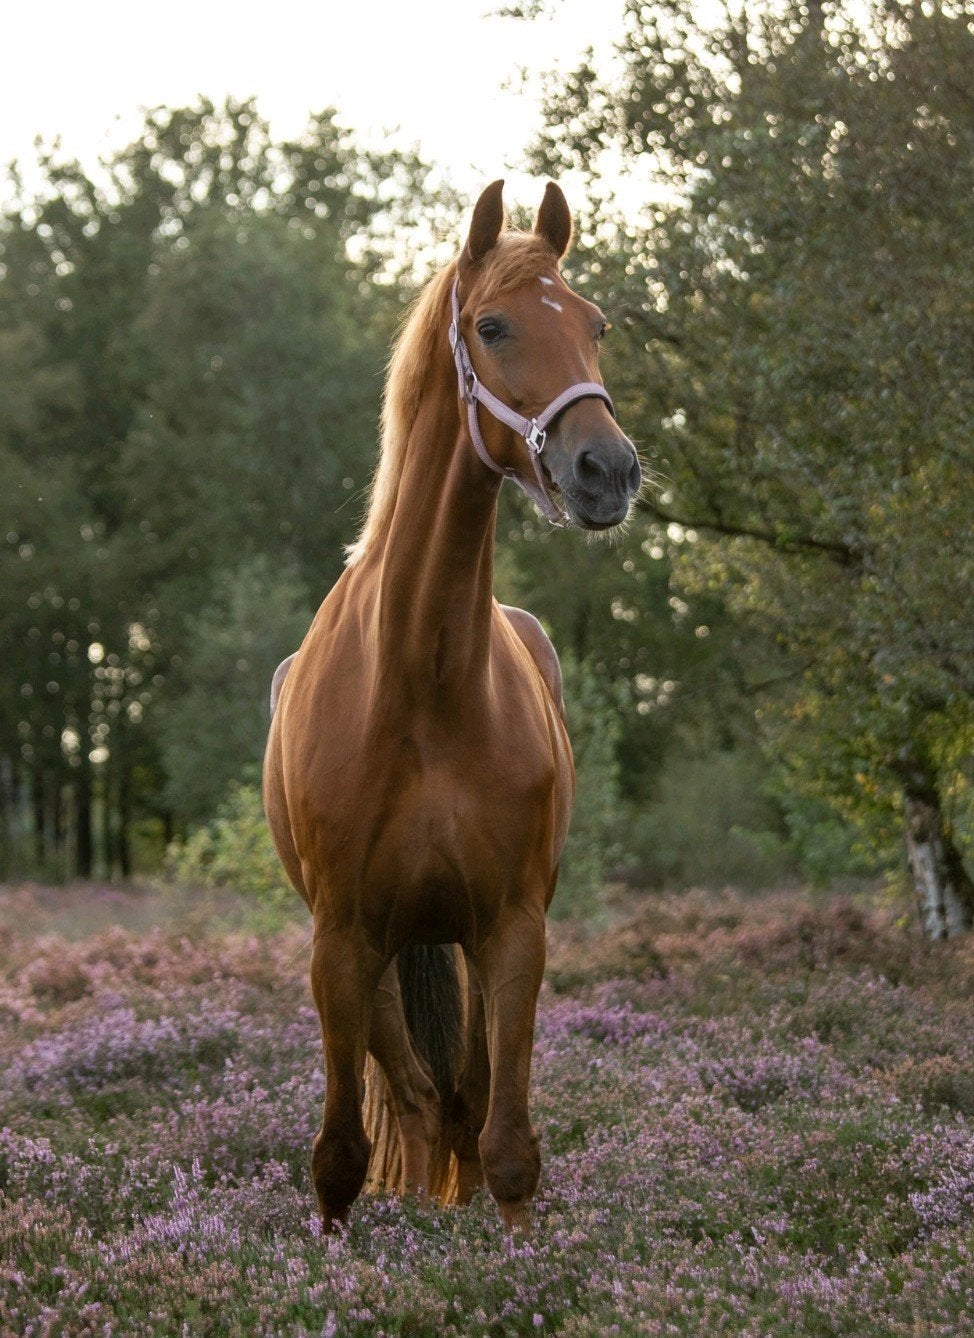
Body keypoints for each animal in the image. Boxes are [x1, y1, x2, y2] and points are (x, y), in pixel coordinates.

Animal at [262, 179, 641, 1233]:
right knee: (421, 1106)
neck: (424, 680)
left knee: (462, 1109)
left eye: (595, 325)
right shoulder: (342, 943)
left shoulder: (512, 931)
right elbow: (341, 1158)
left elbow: (507, 1148)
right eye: (493, 325)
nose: (609, 471)